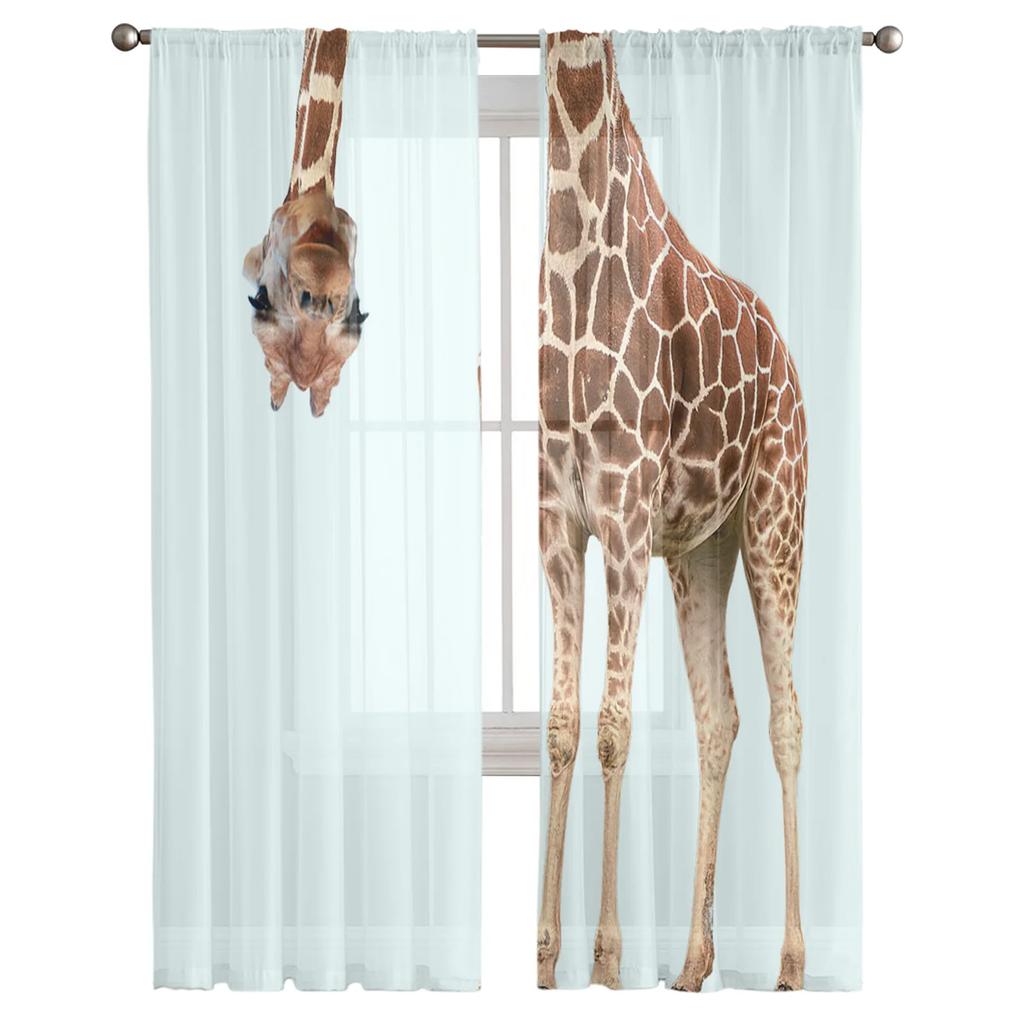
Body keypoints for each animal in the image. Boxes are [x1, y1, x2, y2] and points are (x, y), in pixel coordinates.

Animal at [537, 31, 808, 992]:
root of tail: (789, 358)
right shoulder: (557, 523)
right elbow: (562, 726)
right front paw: (544, 957)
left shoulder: (621, 515)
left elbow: (614, 728)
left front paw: (608, 960)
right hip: (701, 551)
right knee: (720, 718)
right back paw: (693, 963)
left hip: (776, 524)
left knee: (788, 718)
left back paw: (791, 964)